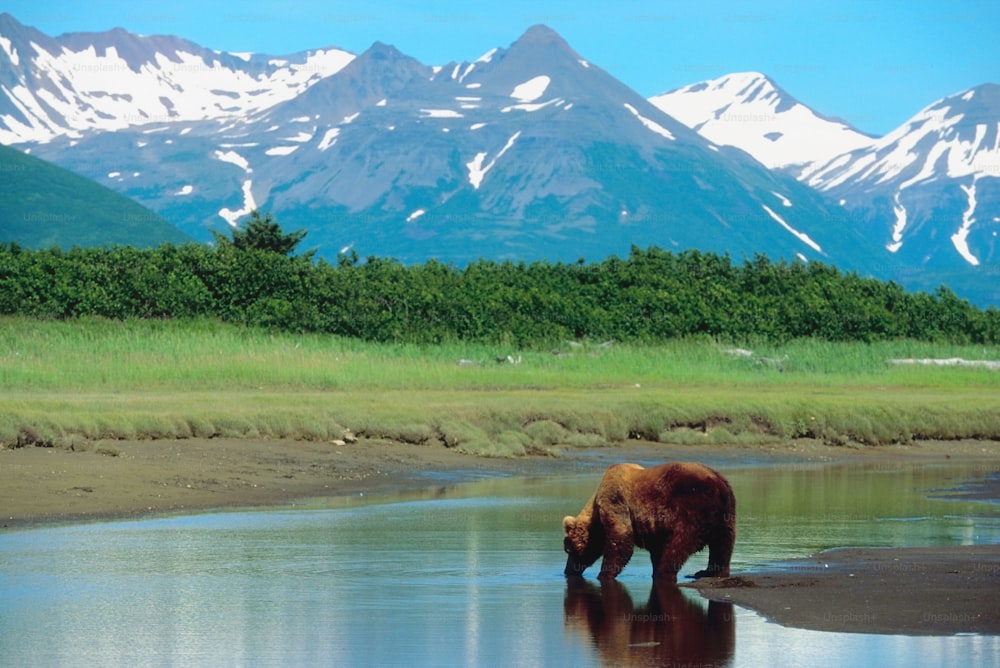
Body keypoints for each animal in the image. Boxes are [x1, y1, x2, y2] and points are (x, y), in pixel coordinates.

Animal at [564, 462, 736, 580]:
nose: (567, 571)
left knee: (679, 543)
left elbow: (621, 539)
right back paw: (712, 571)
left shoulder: (615, 501)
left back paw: (665, 573)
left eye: (569, 549)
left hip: (692, 506)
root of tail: (719, 483)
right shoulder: (655, 528)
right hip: (727, 514)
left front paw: (603, 574)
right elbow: (656, 549)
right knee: (723, 544)